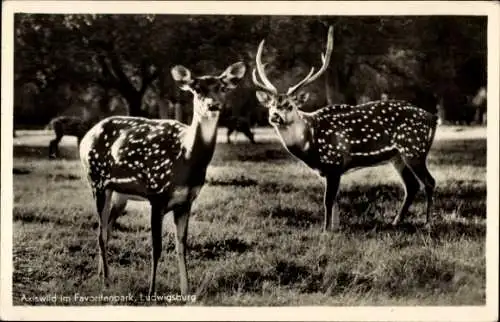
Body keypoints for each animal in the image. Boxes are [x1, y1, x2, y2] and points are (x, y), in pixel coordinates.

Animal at [78, 61, 248, 296]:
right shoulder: (156, 195)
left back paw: (102, 274)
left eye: (222, 87)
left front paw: (186, 290)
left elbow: (182, 246)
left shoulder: (186, 201)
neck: (187, 158)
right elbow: (156, 247)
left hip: (120, 193)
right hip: (96, 180)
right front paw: (152, 291)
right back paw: (105, 281)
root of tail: (85, 137)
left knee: (106, 228)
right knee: (101, 233)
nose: (213, 105)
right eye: (196, 89)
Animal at [252, 25, 436, 231]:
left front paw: (325, 230)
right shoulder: (328, 170)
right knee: (412, 185)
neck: (310, 141)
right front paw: (335, 227)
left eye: (290, 106)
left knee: (429, 181)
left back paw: (428, 224)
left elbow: (327, 200)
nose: (274, 116)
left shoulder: (334, 160)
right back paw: (395, 221)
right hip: (397, 156)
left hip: (414, 149)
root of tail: (433, 118)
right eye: (271, 105)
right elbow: (335, 201)